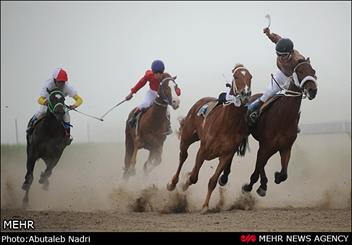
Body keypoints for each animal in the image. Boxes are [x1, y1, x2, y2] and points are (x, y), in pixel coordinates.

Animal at [166, 64, 252, 212]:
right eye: (236, 77)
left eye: (250, 77)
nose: (245, 94)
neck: (227, 124)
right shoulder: (202, 151)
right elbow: (194, 177)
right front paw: (184, 184)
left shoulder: (226, 155)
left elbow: (212, 181)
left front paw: (205, 206)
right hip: (187, 138)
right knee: (183, 156)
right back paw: (172, 183)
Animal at [223, 57, 320, 197]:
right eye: (300, 71)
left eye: (313, 71)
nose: (313, 91)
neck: (284, 118)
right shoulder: (266, 146)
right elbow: (256, 172)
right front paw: (248, 187)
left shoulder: (286, 148)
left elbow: (284, 174)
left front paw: (276, 177)